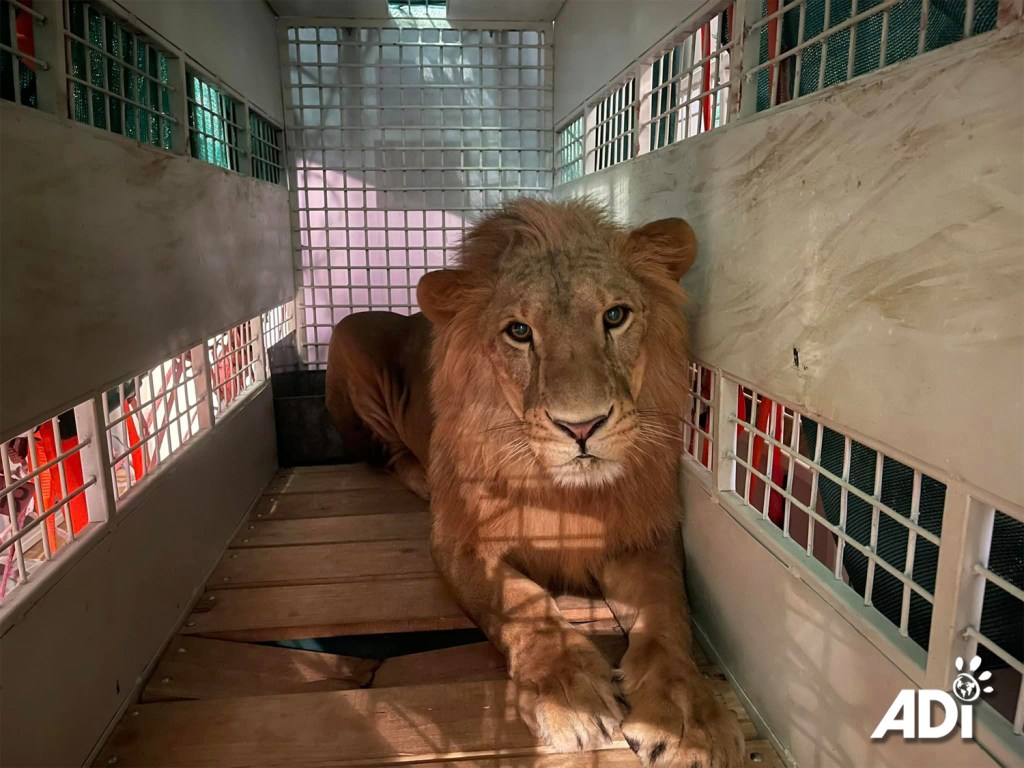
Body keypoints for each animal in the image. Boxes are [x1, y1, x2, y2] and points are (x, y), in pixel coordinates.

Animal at [325, 198, 744, 767]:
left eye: (615, 316)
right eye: (519, 332)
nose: (582, 427)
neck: (564, 492)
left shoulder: (644, 533)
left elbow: (668, 611)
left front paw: (688, 723)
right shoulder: (461, 541)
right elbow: (521, 602)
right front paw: (569, 694)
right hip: (350, 335)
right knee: (387, 458)